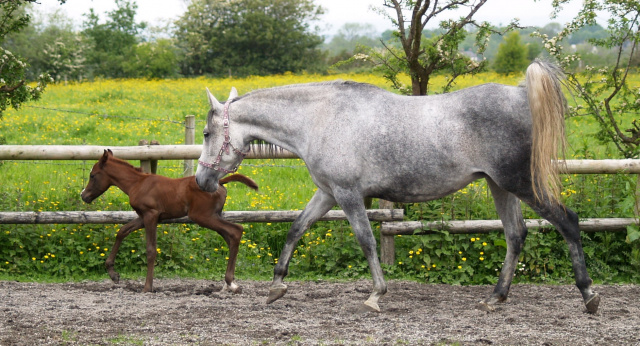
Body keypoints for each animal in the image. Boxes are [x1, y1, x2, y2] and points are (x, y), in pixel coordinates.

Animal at [80, 150, 258, 294]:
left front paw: (147, 287)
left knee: (236, 230)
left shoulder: (150, 215)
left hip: (203, 216)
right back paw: (230, 284)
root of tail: (220, 183)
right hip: (214, 216)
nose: (84, 196)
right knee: (230, 236)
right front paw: (113, 274)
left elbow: (151, 249)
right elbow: (122, 231)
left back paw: (230, 282)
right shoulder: (143, 217)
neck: (137, 183)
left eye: (92, 175)